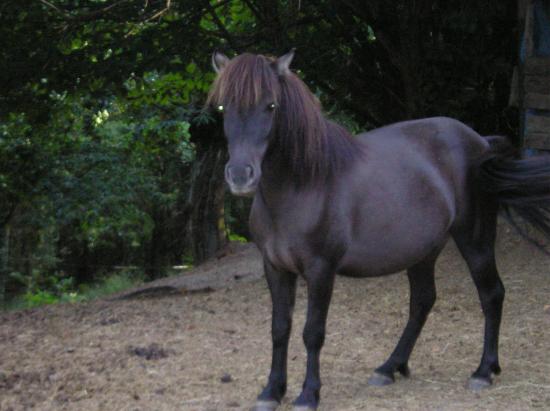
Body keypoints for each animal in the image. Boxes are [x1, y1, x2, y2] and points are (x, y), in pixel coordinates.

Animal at [207, 51, 550, 411]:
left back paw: (484, 371)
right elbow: (279, 328)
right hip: (424, 251)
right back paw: (390, 367)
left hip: (475, 239)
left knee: (491, 294)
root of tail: (481, 142)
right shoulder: (275, 268)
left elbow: (312, 332)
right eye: (223, 107)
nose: (240, 175)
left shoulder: (320, 270)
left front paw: (308, 394)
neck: (303, 185)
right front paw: (272, 391)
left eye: (271, 105)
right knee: (423, 301)